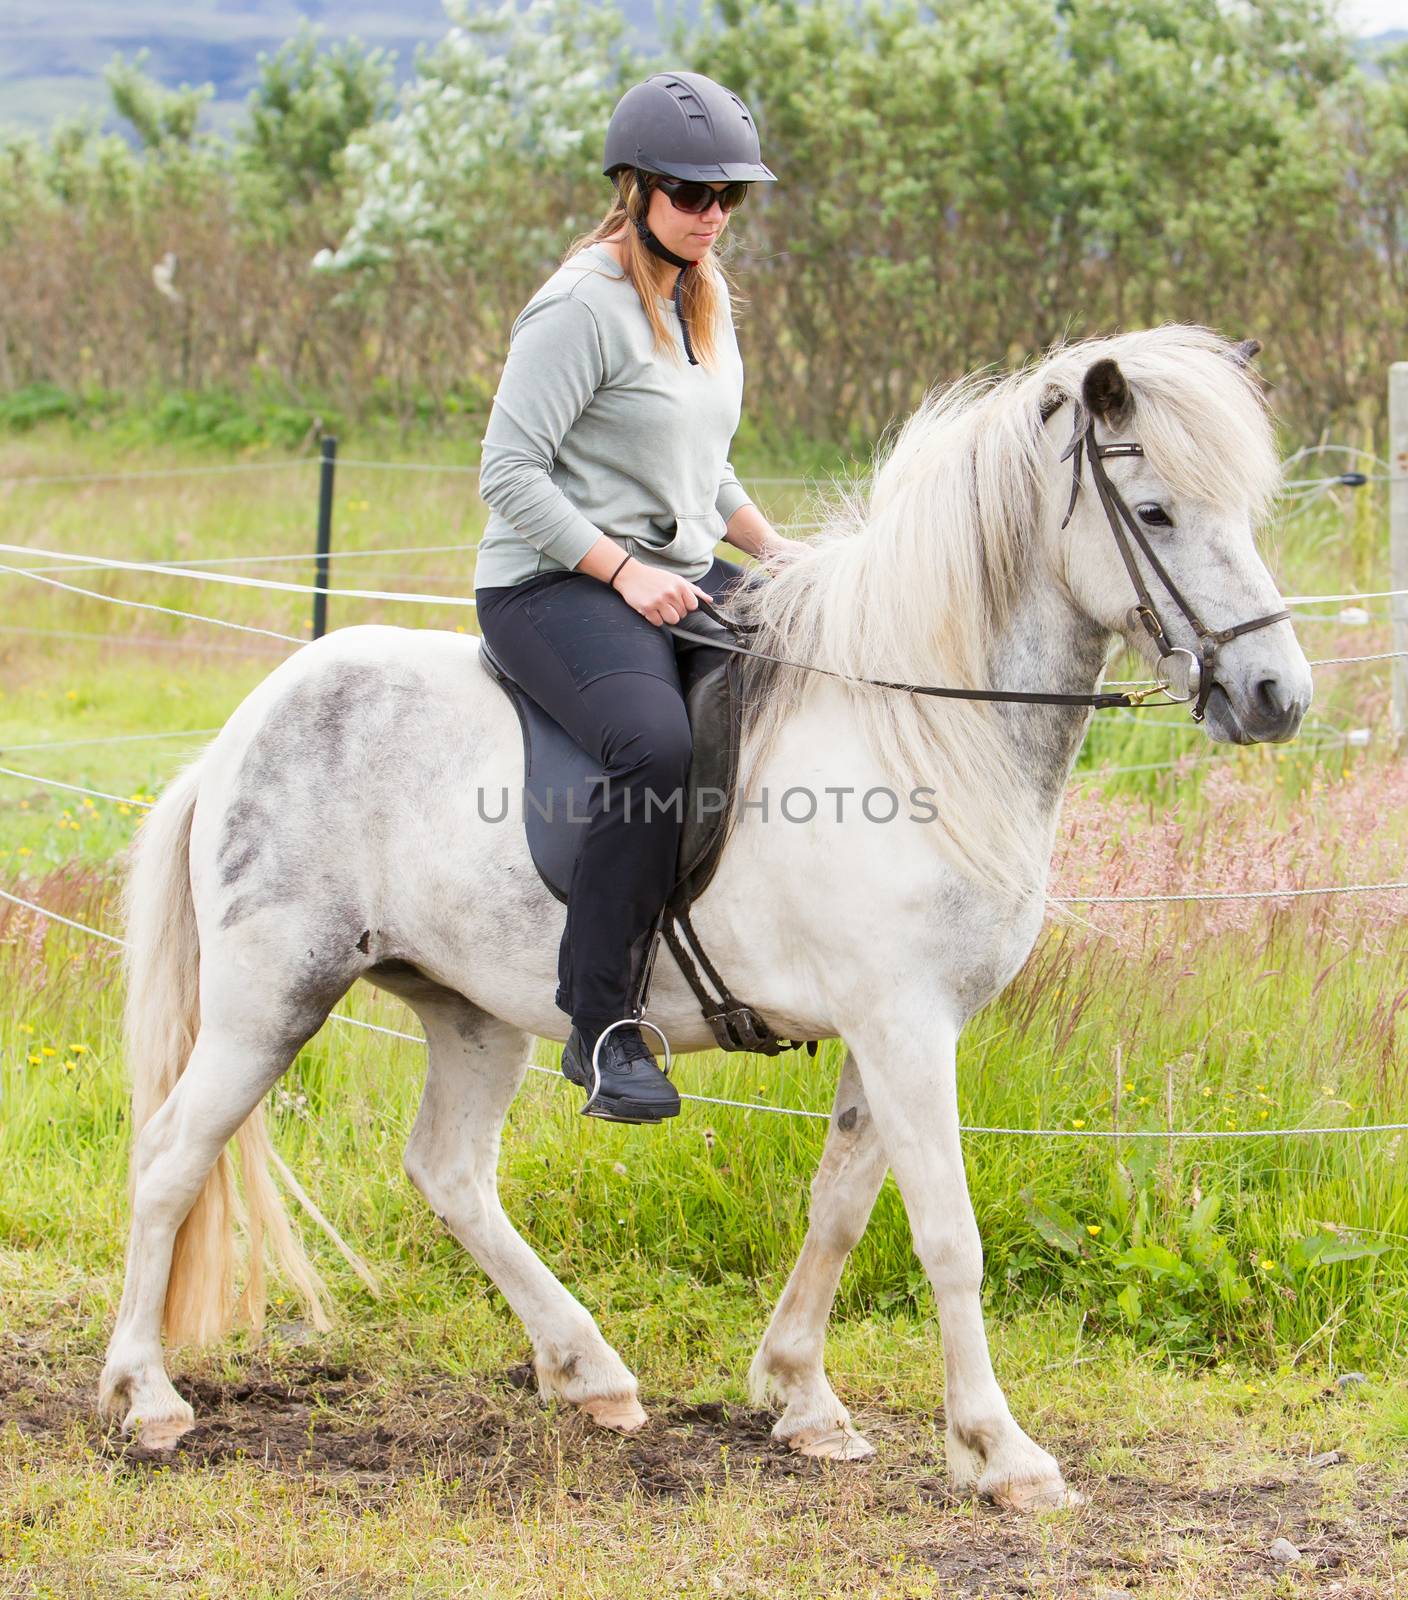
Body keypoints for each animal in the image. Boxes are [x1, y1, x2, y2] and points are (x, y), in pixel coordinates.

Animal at [96, 328, 1312, 1510]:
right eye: (1153, 512)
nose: (1276, 698)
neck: (913, 728)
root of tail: (242, 728)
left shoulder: (888, 1033)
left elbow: (840, 1208)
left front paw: (802, 1399)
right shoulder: (908, 1028)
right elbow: (946, 1234)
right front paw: (1000, 1451)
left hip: (469, 1009)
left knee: (449, 1172)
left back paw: (590, 1372)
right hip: (272, 998)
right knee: (169, 1157)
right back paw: (146, 1396)